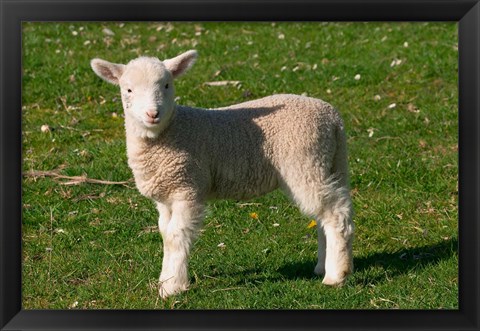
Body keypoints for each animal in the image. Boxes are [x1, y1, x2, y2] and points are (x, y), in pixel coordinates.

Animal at [91, 50, 352, 300]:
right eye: (128, 90)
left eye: (166, 85)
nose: (152, 113)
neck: (170, 131)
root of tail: (333, 118)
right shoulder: (166, 195)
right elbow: (165, 234)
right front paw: (165, 280)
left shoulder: (188, 187)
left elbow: (176, 236)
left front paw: (173, 287)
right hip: (330, 163)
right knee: (325, 214)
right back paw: (323, 266)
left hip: (305, 161)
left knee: (336, 214)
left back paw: (336, 275)